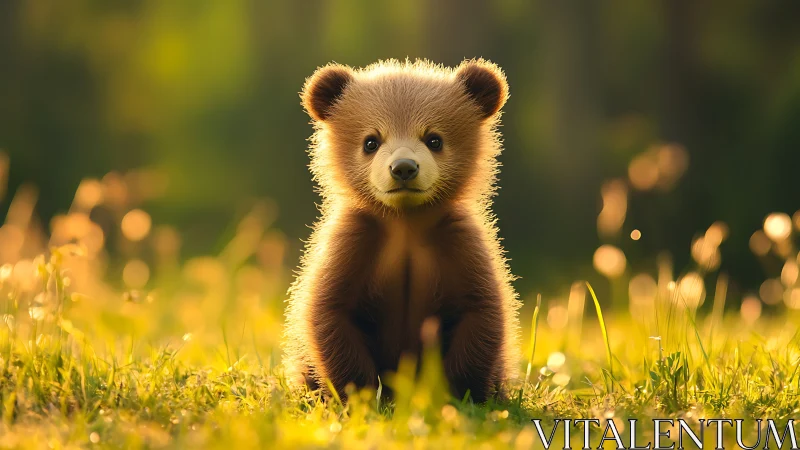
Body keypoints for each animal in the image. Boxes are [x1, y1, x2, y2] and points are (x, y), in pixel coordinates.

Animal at [282, 58, 521, 403]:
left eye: (434, 139)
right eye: (371, 141)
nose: (404, 168)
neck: (405, 222)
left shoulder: (457, 243)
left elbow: (481, 309)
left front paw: (460, 393)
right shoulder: (356, 242)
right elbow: (329, 311)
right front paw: (360, 393)